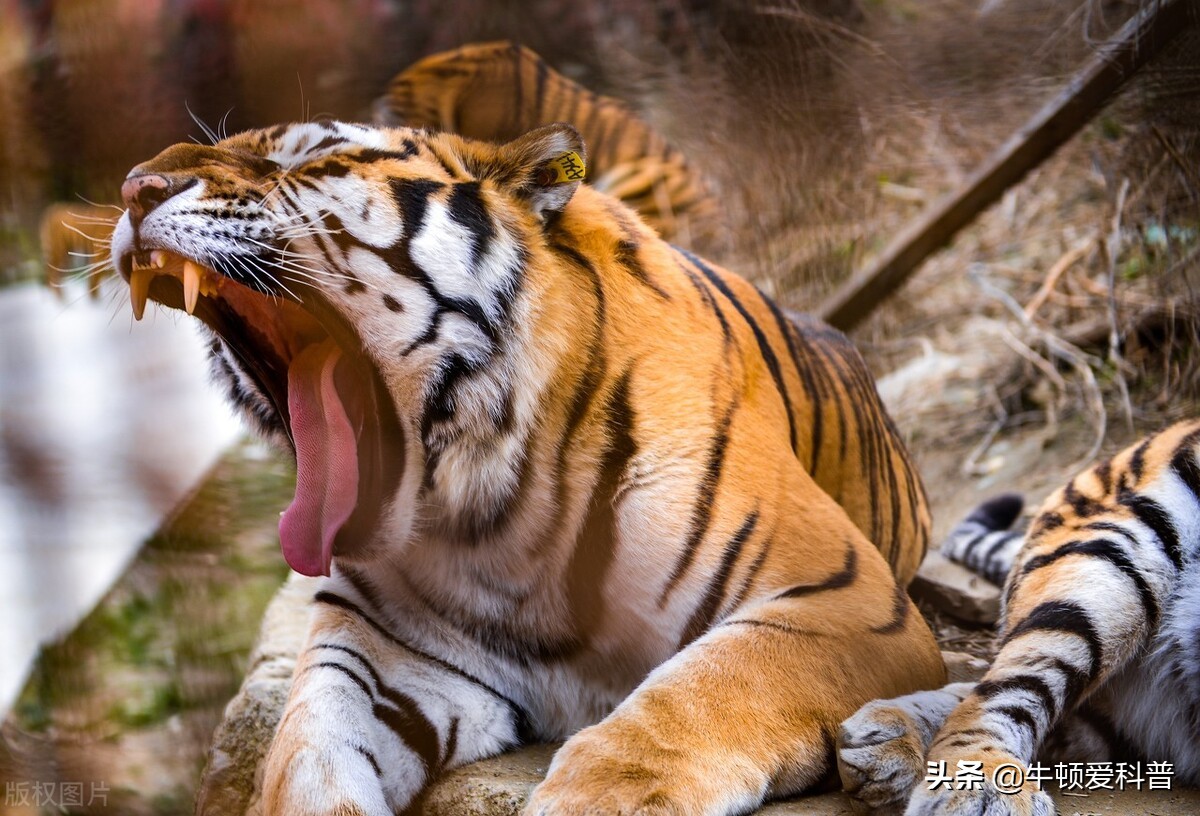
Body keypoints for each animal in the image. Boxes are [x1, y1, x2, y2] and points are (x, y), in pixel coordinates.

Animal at [108, 119, 940, 816]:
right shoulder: (379, 646)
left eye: (307, 157)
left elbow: (687, 706)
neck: (494, 513)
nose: (134, 187)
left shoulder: (842, 598)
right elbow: (305, 751)